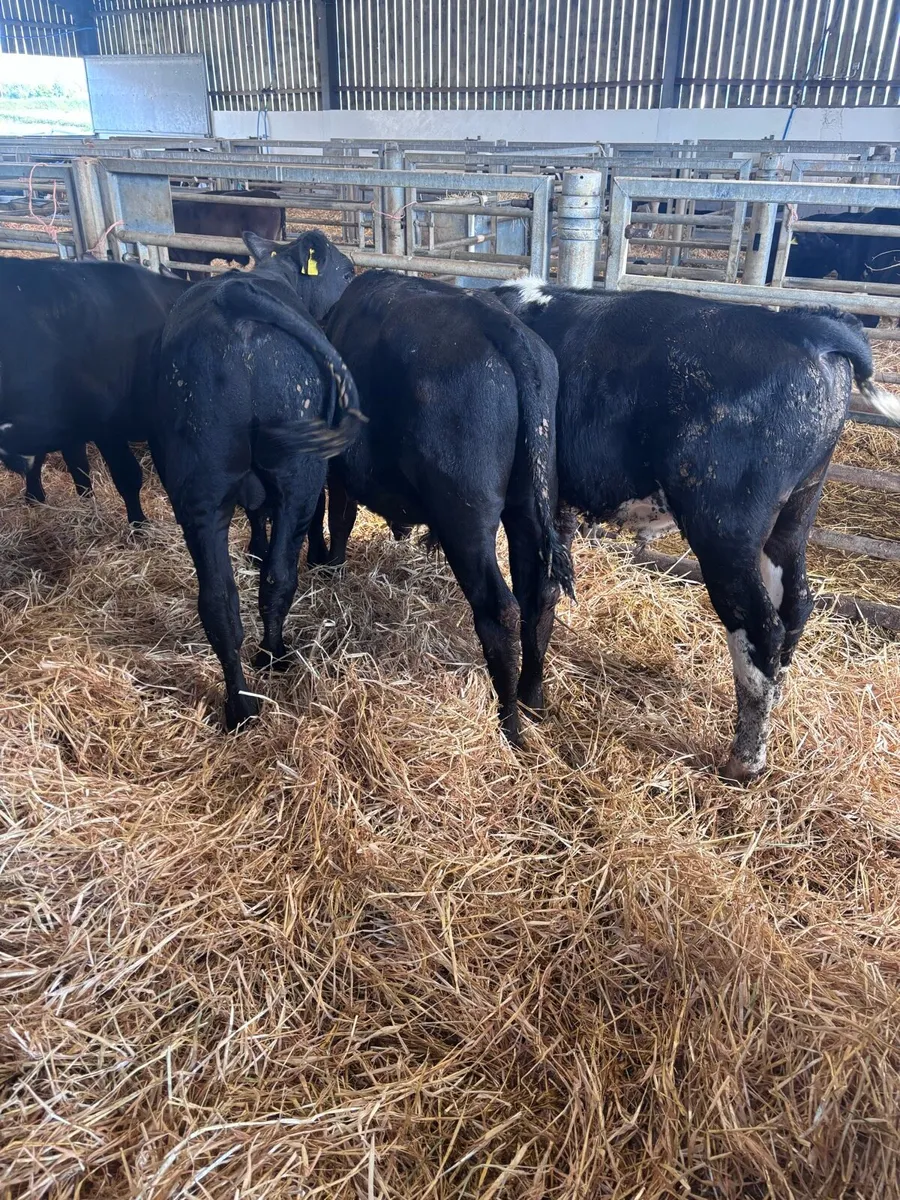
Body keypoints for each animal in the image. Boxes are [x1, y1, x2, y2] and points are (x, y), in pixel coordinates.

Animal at [149, 229, 362, 731]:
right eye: (347, 273)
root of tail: (237, 298)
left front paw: (254, 546)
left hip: (198, 490)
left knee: (219, 602)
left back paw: (241, 705)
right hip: (300, 474)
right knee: (280, 576)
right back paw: (273, 655)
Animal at [316, 271, 575, 746]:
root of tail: (504, 330)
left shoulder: (339, 469)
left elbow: (340, 519)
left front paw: (331, 570)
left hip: (466, 517)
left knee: (500, 610)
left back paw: (511, 725)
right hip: (529, 503)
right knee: (539, 596)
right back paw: (533, 698)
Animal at [493, 279, 900, 780]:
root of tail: (803, 324)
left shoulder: (526, 508)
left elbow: (531, 594)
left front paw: (528, 700)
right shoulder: (559, 509)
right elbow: (548, 594)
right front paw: (536, 701)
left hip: (725, 529)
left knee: (760, 626)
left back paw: (744, 761)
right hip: (795, 515)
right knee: (794, 608)